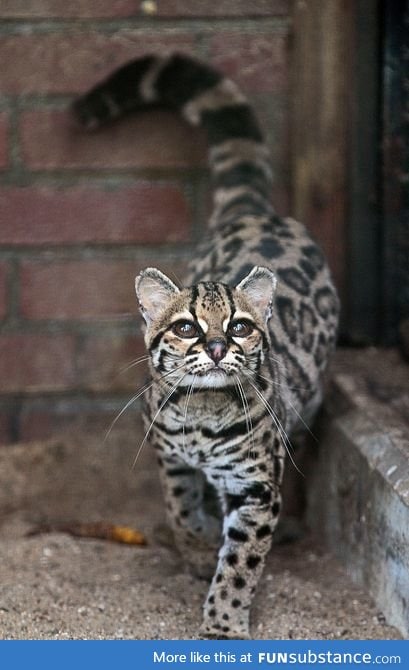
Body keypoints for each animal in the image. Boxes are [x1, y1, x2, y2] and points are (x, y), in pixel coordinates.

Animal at [73, 52, 338, 640]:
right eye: (186, 328)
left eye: (239, 327)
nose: (217, 347)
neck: (202, 414)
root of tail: (252, 212)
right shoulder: (165, 449)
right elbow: (178, 503)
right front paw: (195, 548)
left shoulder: (256, 484)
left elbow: (241, 561)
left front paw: (223, 623)